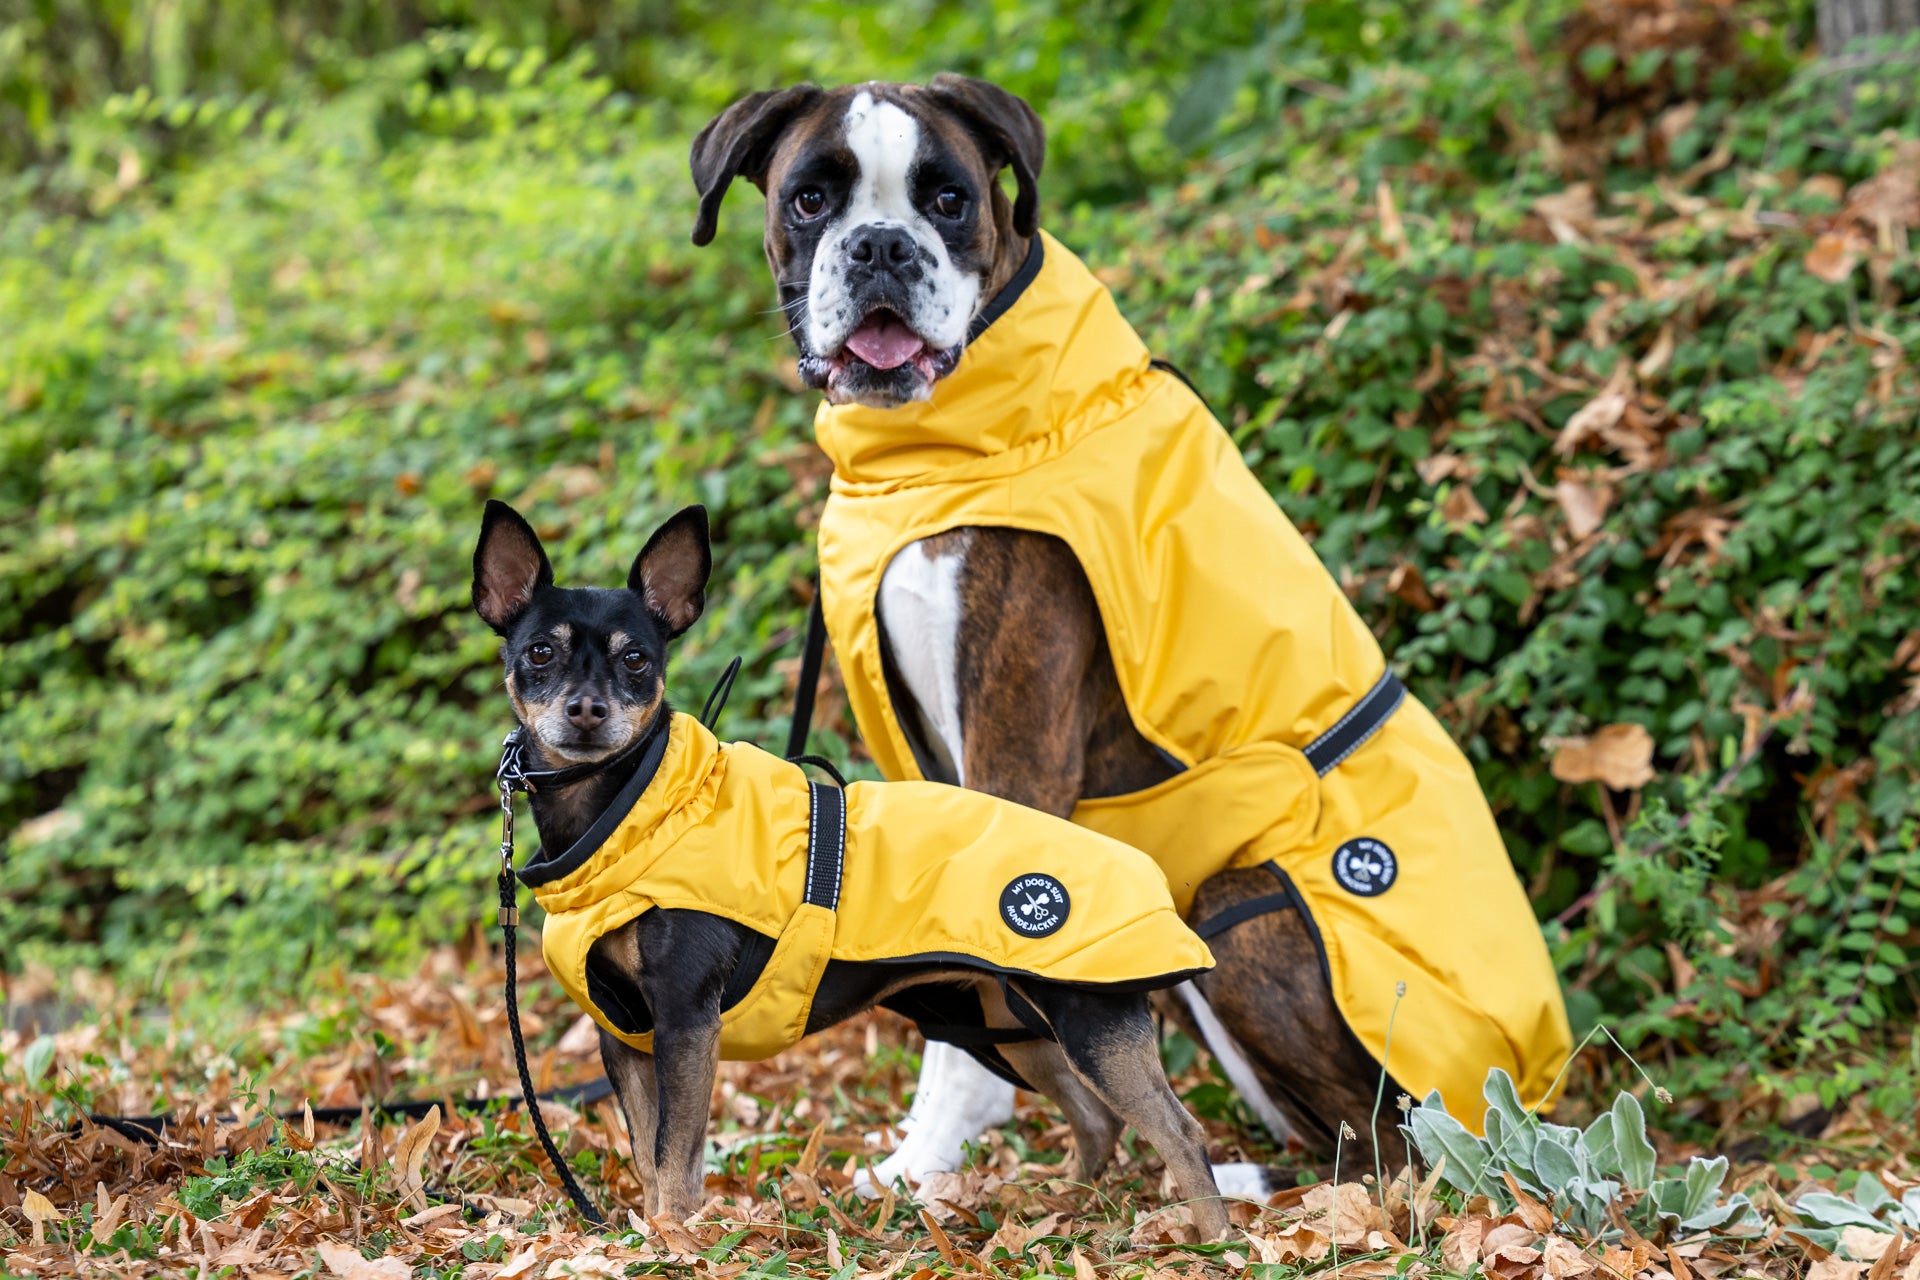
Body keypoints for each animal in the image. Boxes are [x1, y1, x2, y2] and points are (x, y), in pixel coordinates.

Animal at [480, 498, 1228, 1228]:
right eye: (540, 652)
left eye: (636, 659)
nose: (586, 709)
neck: (634, 811)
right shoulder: (623, 1033)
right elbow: (645, 1155)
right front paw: (648, 1238)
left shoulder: (687, 1023)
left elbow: (674, 1161)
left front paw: (676, 1240)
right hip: (1006, 1025)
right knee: (1098, 1118)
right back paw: (1060, 1204)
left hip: (1087, 1021)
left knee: (1180, 1134)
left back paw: (1215, 1242)